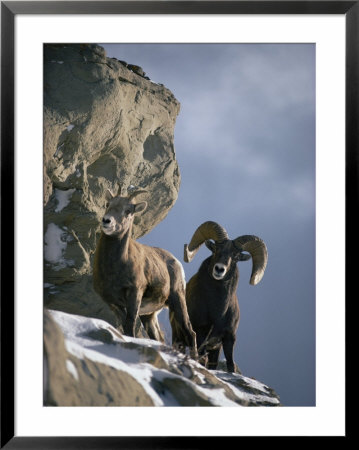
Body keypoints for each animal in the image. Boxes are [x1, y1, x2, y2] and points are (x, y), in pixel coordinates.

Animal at [93, 185, 198, 356]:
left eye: (128, 210)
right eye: (108, 204)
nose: (107, 221)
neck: (114, 270)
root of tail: (176, 262)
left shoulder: (135, 293)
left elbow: (129, 325)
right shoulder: (112, 302)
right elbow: (124, 325)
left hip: (178, 300)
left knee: (190, 332)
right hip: (149, 316)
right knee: (158, 338)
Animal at [181, 221, 268, 372]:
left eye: (236, 257)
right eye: (215, 249)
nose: (219, 269)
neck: (218, 311)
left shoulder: (228, 339)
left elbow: (230, 365)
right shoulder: (201, 333)